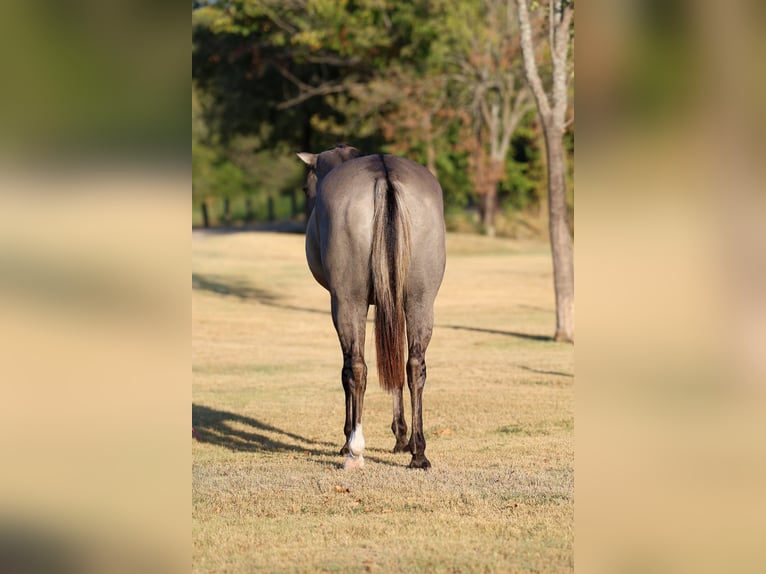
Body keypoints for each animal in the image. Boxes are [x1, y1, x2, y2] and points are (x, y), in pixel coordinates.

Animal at [297, 144, 446, 469]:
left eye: (306, 187)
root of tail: (383, 173)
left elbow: (351, 369)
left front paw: (347, 438)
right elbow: (395, 364)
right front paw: (402, 437)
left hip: (348, 302)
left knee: (355, 368)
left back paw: (354, 447)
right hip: (420, 299)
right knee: (414, 366)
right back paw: (419, 452)